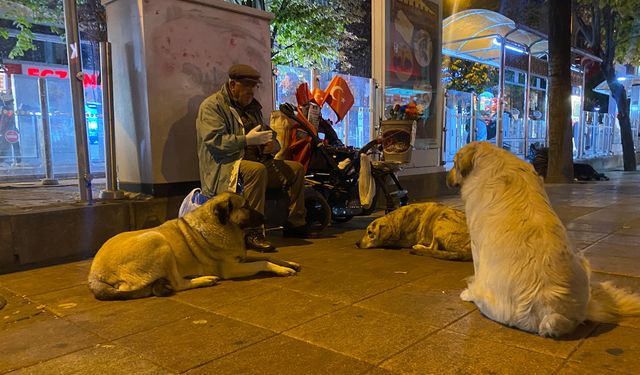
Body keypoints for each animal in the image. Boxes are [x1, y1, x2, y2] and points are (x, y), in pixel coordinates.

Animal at [86, 192, 302, 302]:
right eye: (245, 206)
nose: (265, 217)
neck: (222, 225)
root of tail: (95, 275)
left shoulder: (240, 258)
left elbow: (268, 257)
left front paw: (287, 262)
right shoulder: (232, 268)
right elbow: (263, 262)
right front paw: (282, 270)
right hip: (158, 240)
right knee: (178, 284)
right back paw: (204, 279)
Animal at [444, 142, 640, 340]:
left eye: (454, 163)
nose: (446, 178)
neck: (492, 158)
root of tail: (553, 313)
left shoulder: (476, 246)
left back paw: (469, 293)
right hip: (582, 261)